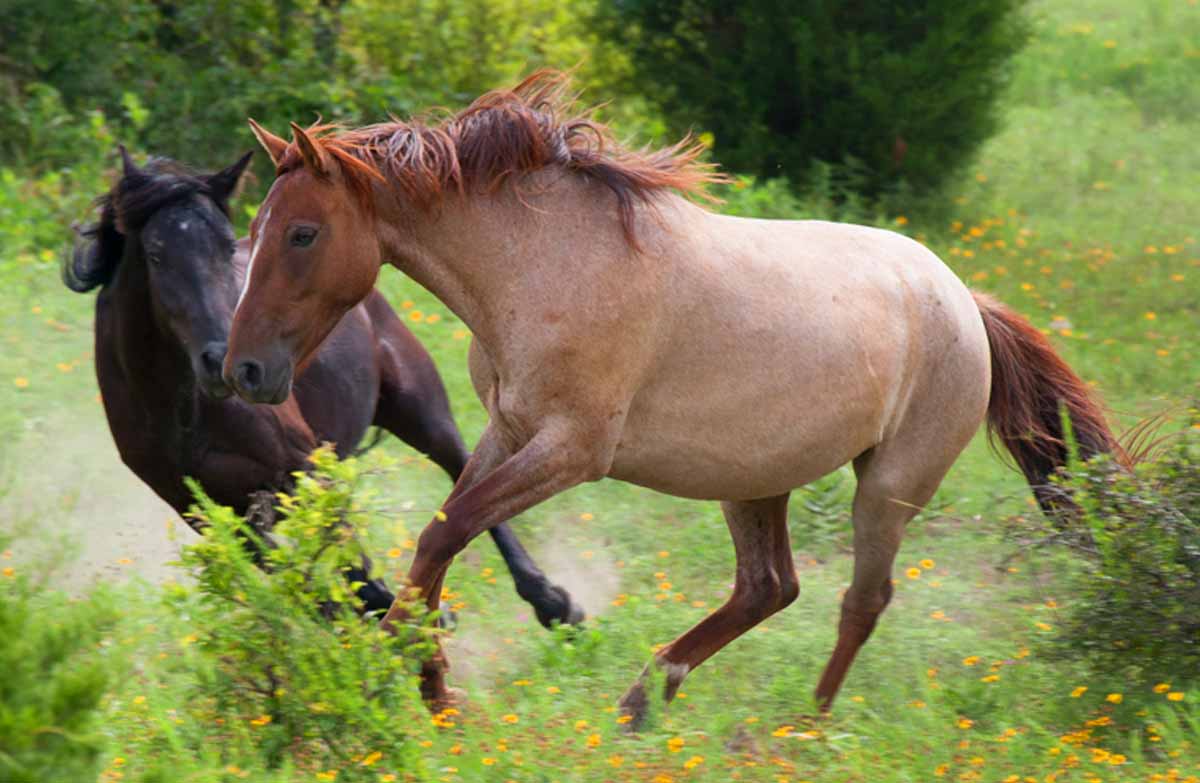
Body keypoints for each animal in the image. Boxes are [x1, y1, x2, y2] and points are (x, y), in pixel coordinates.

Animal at [64, 146, 583, 628]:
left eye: (225, 248)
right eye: (155, 255)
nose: (222, 361)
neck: (182, 412)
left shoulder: (305, 466)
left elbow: (351, 564)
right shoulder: (206, 513)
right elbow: (323, 589)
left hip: (419, 410)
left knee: (460, 471)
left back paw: (553, 603)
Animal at [222, 71, 1123, 722]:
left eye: (301, 233)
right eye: (253, 229)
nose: (243, 372)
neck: (540, 265)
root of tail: (966, 300)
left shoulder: (572, 449)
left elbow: (446, 536)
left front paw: (414, 685)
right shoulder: (507, 430)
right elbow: (439, 536)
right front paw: (419, 682)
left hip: (889, 487)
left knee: (861, 598)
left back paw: (805, 725)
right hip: (754, 478)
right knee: (768, 587)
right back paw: (640, 700)